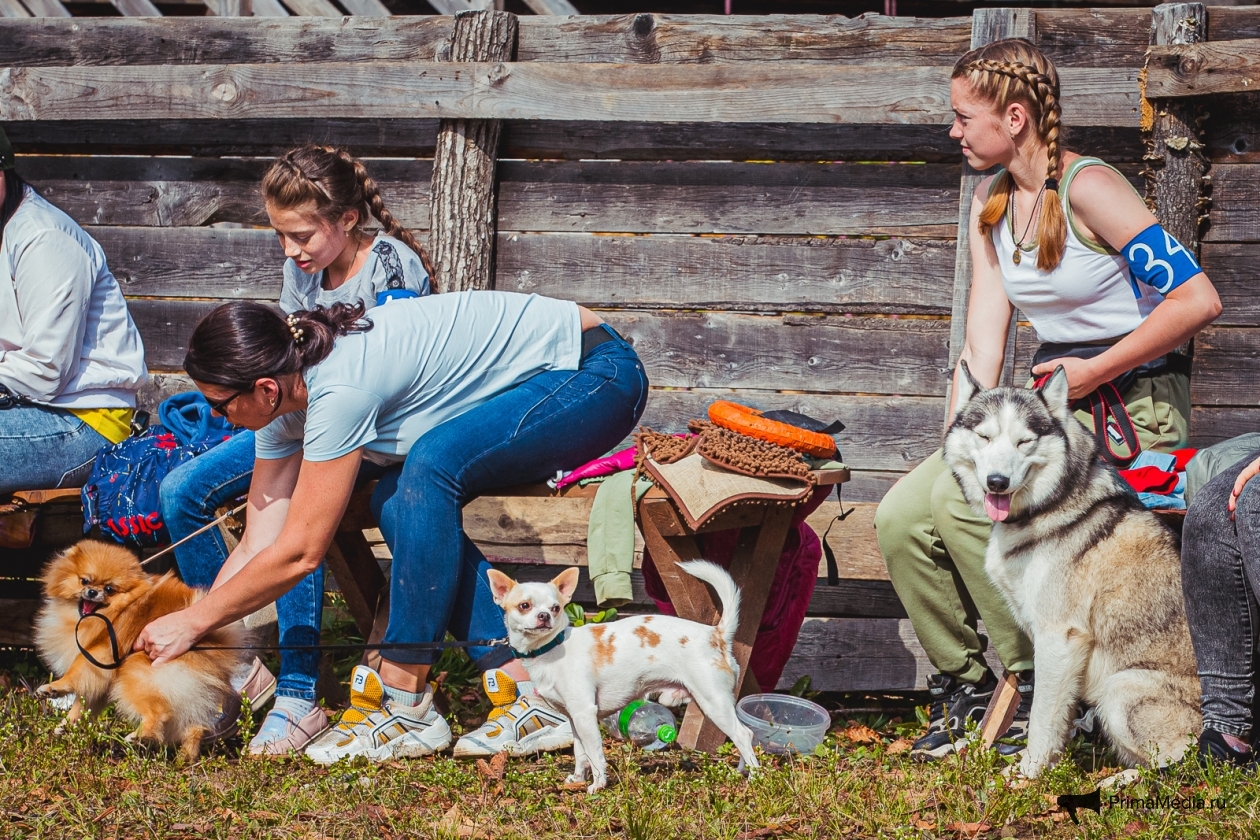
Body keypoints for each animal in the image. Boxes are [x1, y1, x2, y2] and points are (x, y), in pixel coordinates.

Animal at [32, 541, 248, 765]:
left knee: (160, 713)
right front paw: (68, 725)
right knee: (194, 727)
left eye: (109, 589)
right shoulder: (102, 677)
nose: (91, 592)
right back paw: (184, 759)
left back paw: (139, 737)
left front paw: (54, 688)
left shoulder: (100, 652)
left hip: (139, 670)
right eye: (84, 580)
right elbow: (84, 704)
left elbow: (75, 673)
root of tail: (214, 647)